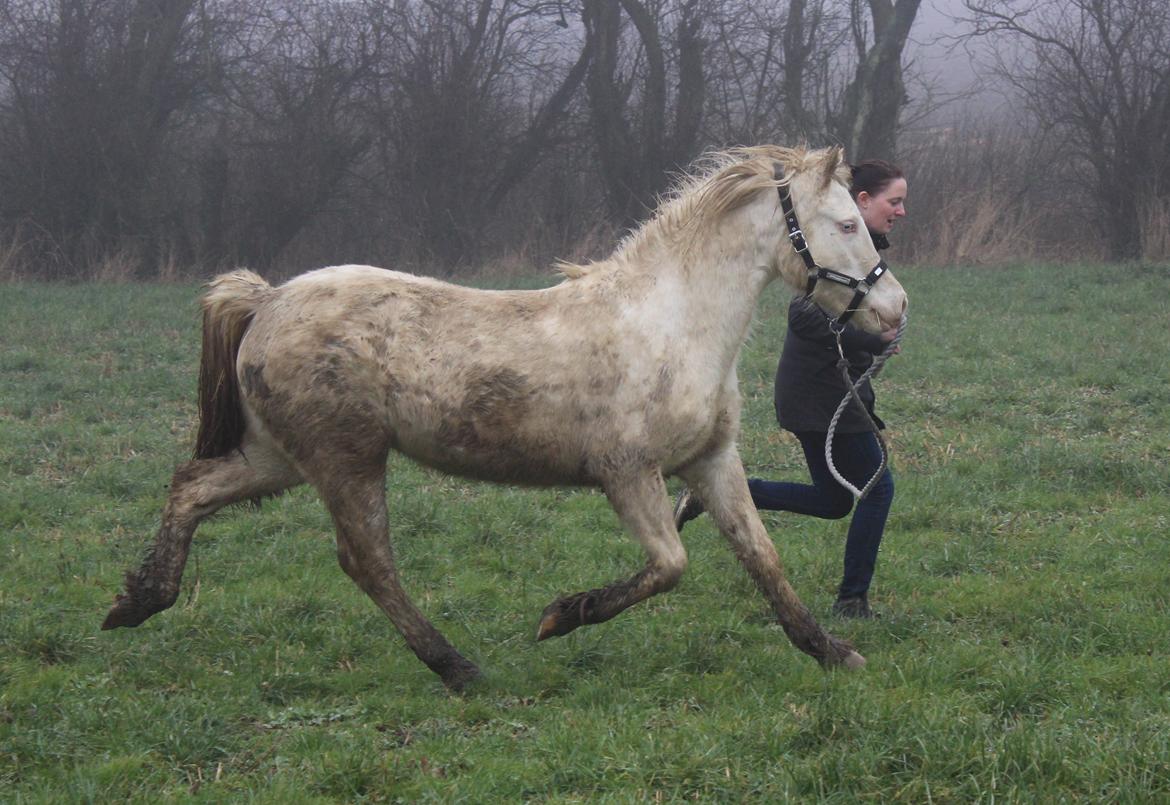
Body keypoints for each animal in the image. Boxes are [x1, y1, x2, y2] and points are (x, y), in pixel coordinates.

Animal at [102, 146, 903, 692]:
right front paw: (562, 615)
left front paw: (834, 652)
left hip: (277, 456)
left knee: (191, 488)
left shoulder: (710, 460)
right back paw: (459, 668)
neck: (670, 321)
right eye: (846, 222)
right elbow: (670, 564)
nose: (893, 311)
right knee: (367, 560)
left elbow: (762, 558)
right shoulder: (627, 473)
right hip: (344, 458)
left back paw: (138, 602)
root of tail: (267, 299)